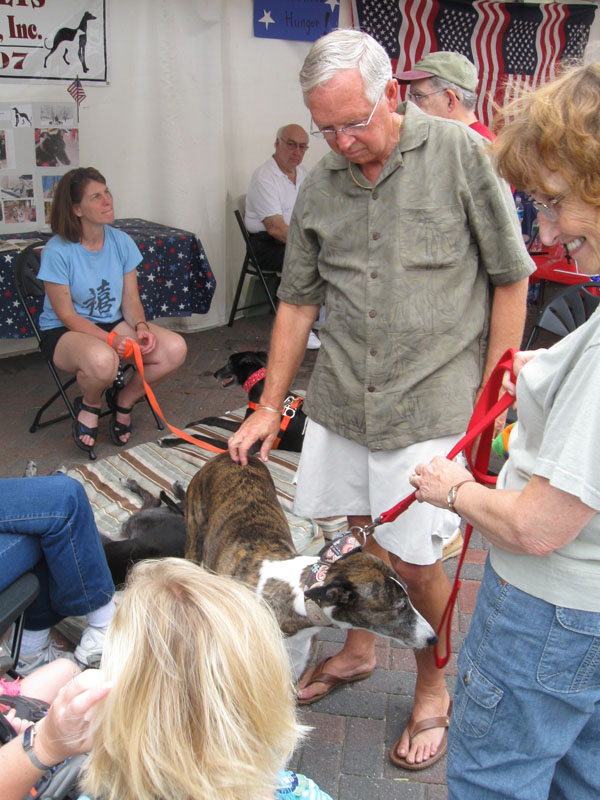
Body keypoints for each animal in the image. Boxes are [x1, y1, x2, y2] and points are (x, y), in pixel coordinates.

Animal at [159, 350, 307, 453]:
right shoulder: (245, 425)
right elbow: (214, 419)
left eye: (229, 363)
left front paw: (169, 441)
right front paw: (194, 423)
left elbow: (198, 437)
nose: (214, 374)